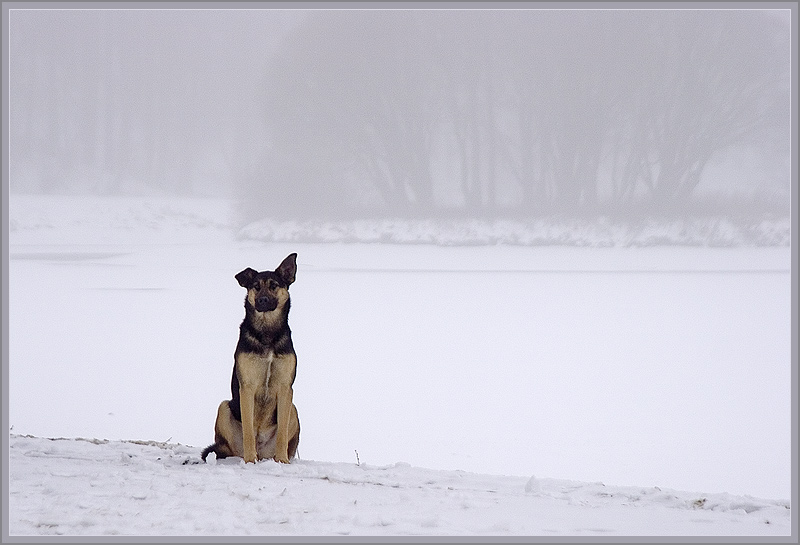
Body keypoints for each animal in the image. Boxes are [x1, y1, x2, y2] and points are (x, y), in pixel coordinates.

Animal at [200, 252, 300, 464]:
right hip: (224, 407)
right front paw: (249, 461)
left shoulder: (286, 388)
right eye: (255, 286)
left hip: (294, 408)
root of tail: (263, 452)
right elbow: (247, 429)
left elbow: (281, 433)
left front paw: (282, 461)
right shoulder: (247, 386)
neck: (267, 334)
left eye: (274, 285)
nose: (262, 300)